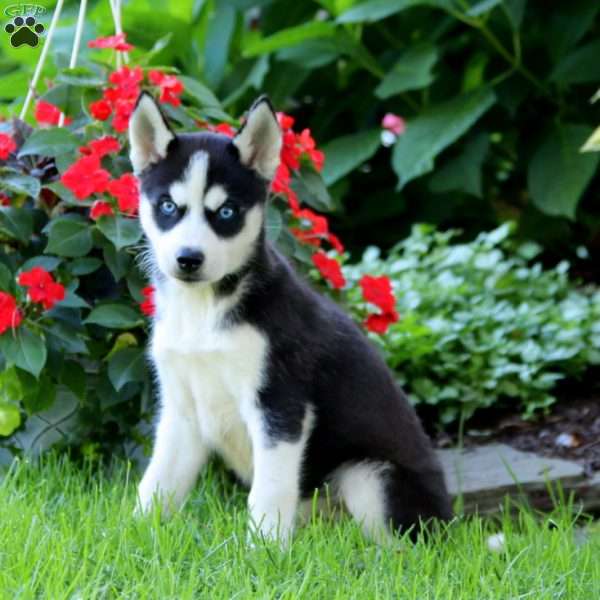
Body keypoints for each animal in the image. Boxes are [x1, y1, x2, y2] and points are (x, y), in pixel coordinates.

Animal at [130, 92, 450, 544]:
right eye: (168, 206)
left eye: (226, 213)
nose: (188, 259)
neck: (204, 310)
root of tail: (451, 517)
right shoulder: (182, 409)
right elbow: (157, 484)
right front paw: (133, 536)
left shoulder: (279, 405)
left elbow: (268, 491)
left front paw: (262, 550)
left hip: (368, 475)